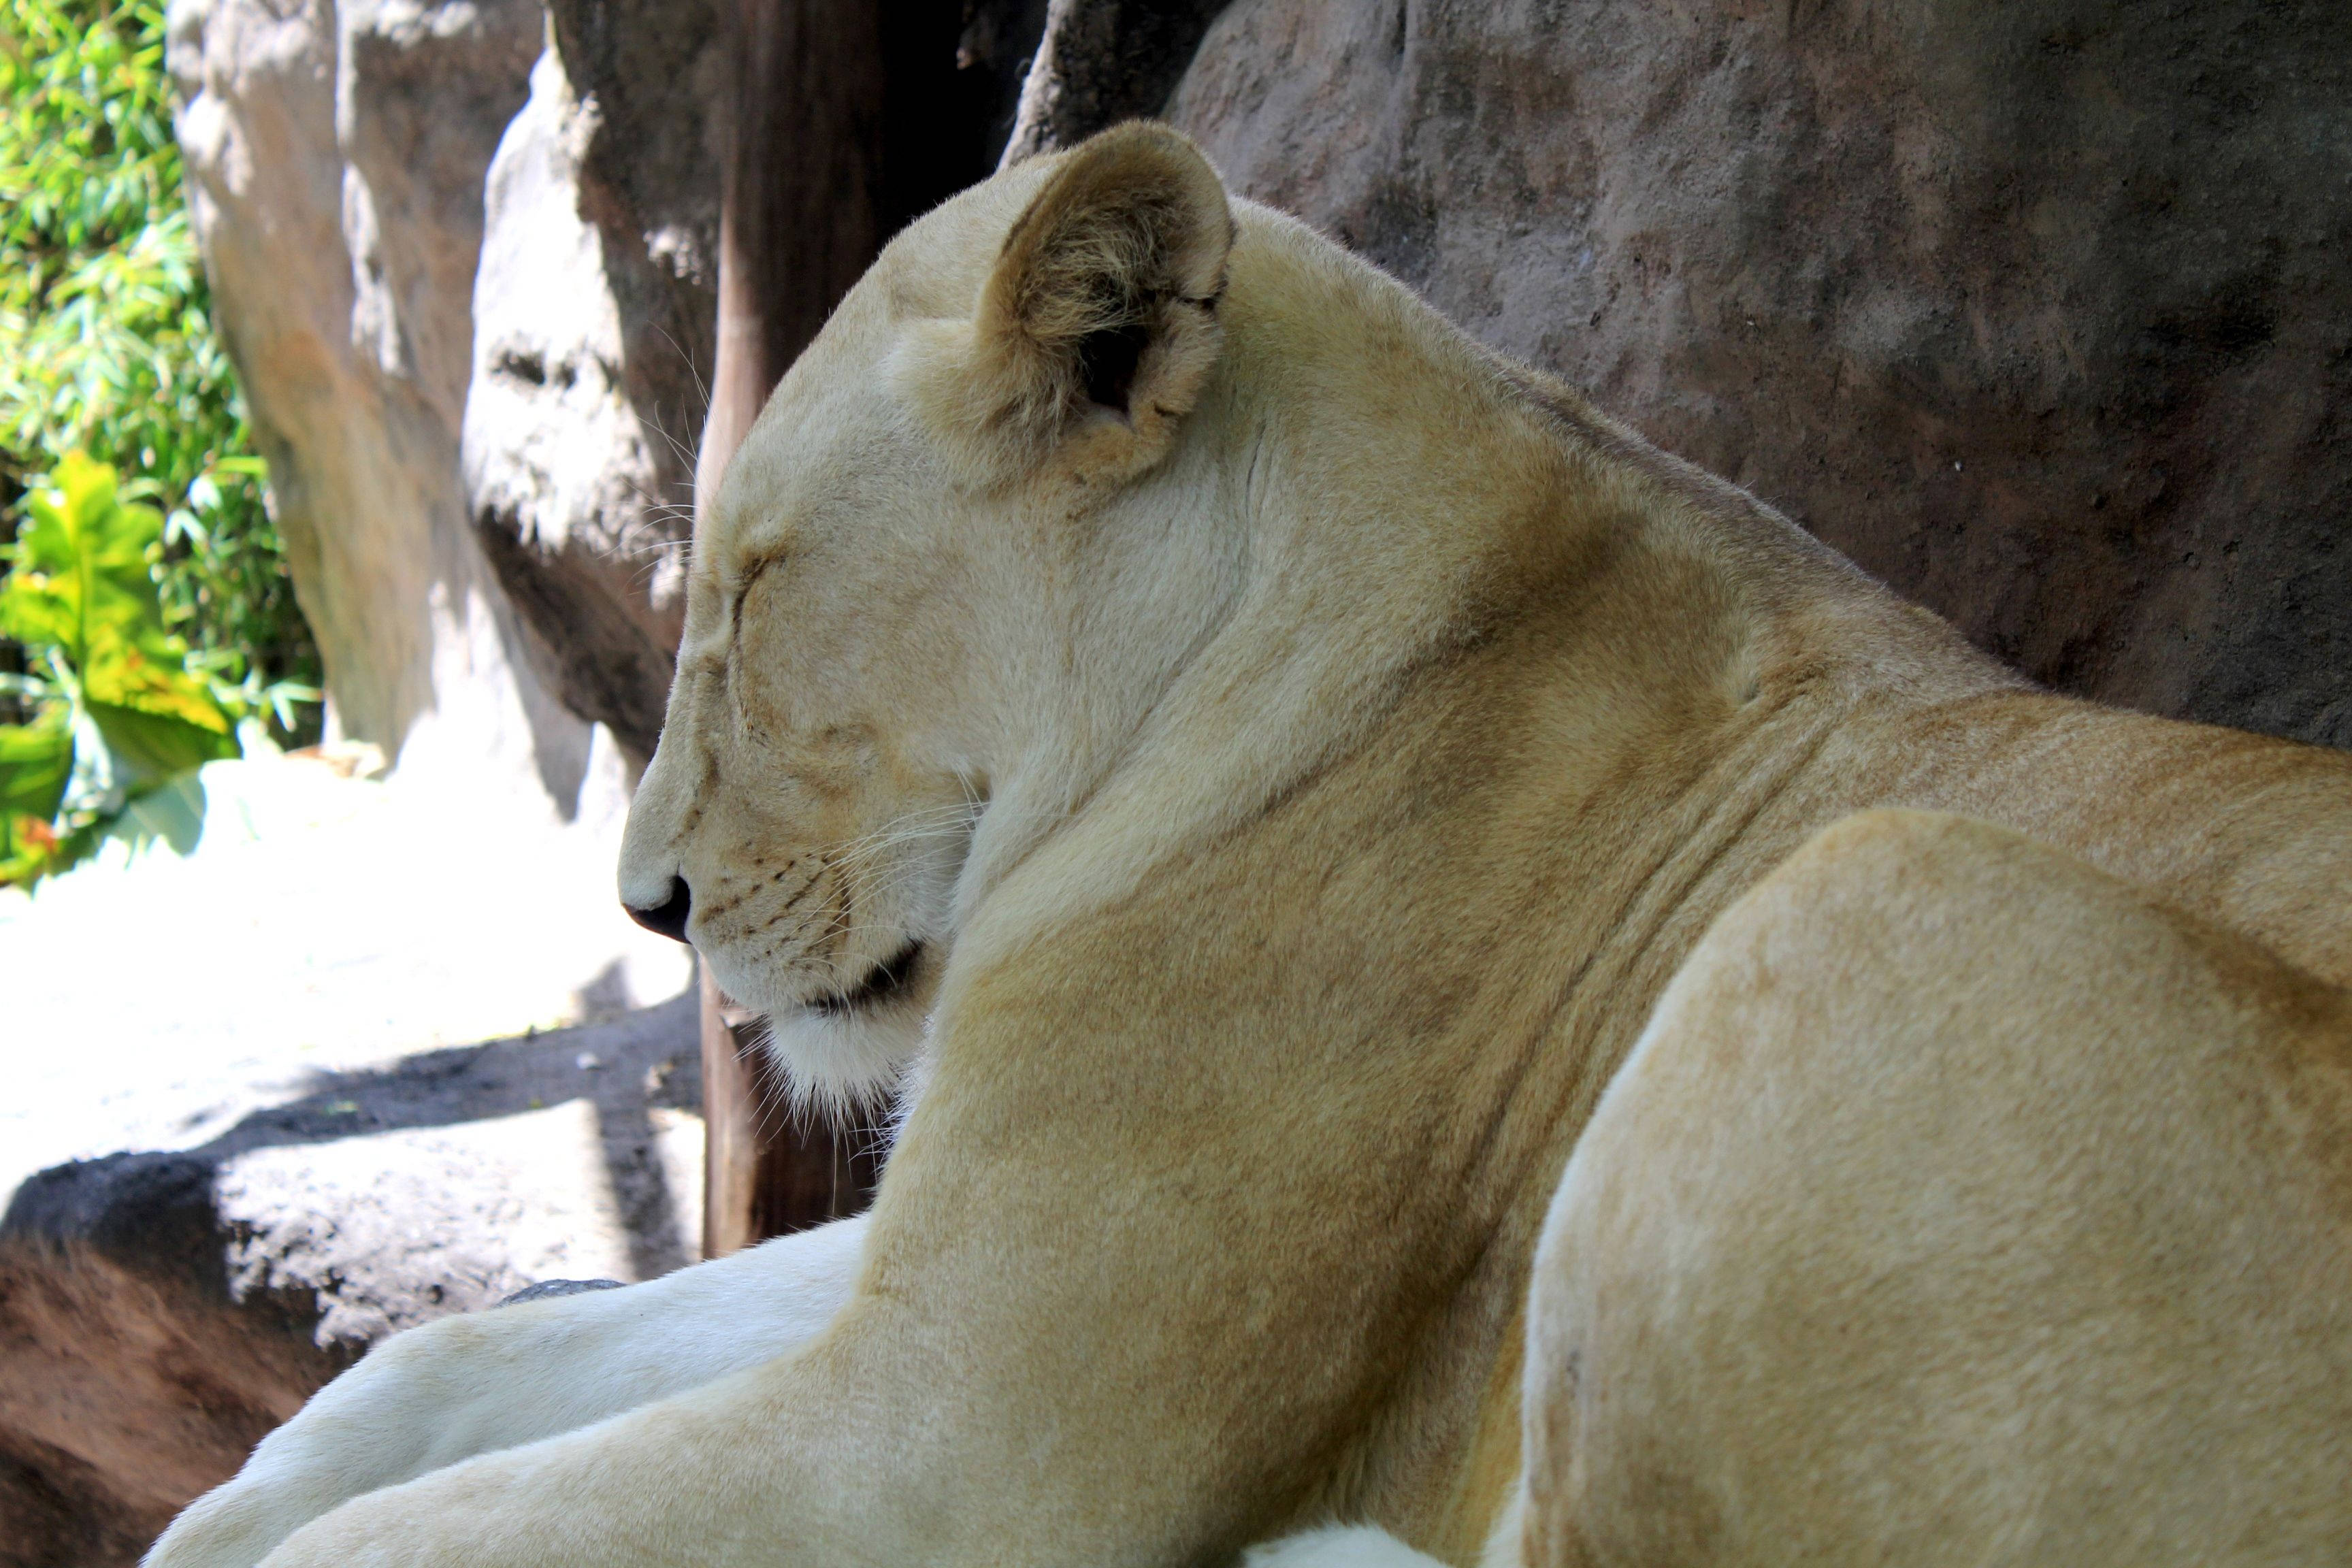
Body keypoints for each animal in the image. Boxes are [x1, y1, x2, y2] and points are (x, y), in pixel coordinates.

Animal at [148, 123, 2352, 1568]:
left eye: (759, 592)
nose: (647, 909)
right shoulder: (939, 1267)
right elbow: (486, 1360)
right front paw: (227, 1513)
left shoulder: (960, 1440)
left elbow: (434, 1536)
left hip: (1878, 899)